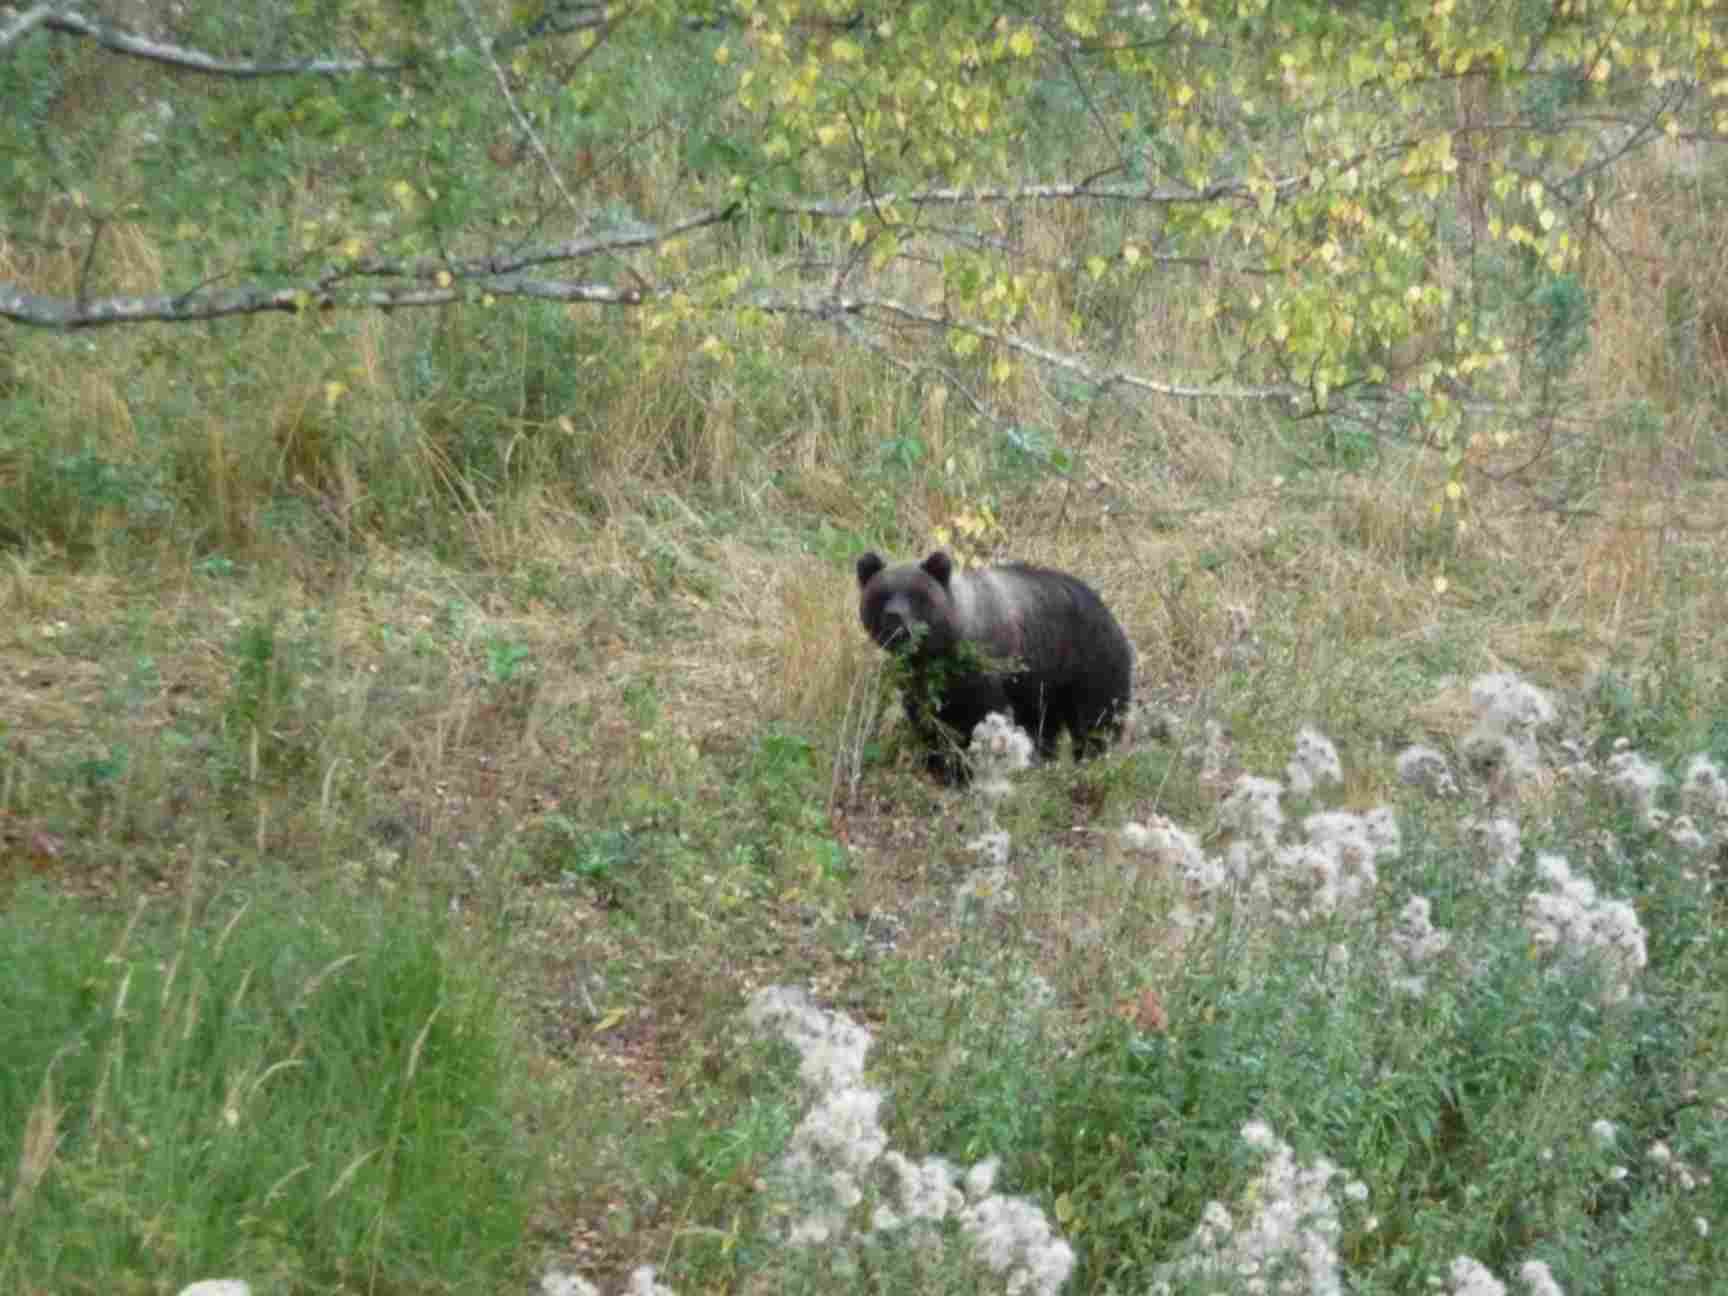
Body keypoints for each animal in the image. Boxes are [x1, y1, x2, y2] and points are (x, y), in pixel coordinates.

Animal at [853, 549, 1133, 781]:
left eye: (916, 596)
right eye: (881, 594)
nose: (894, 618)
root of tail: (1108, 610)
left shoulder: (986, 671)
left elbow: (982, 719)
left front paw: (968, 770)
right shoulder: (922, 681)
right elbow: (928, 722)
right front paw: (940, 765)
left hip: (1086, 661)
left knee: (1096, 718)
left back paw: (1092, 760)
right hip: (1044, 684)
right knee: (1044, 726)